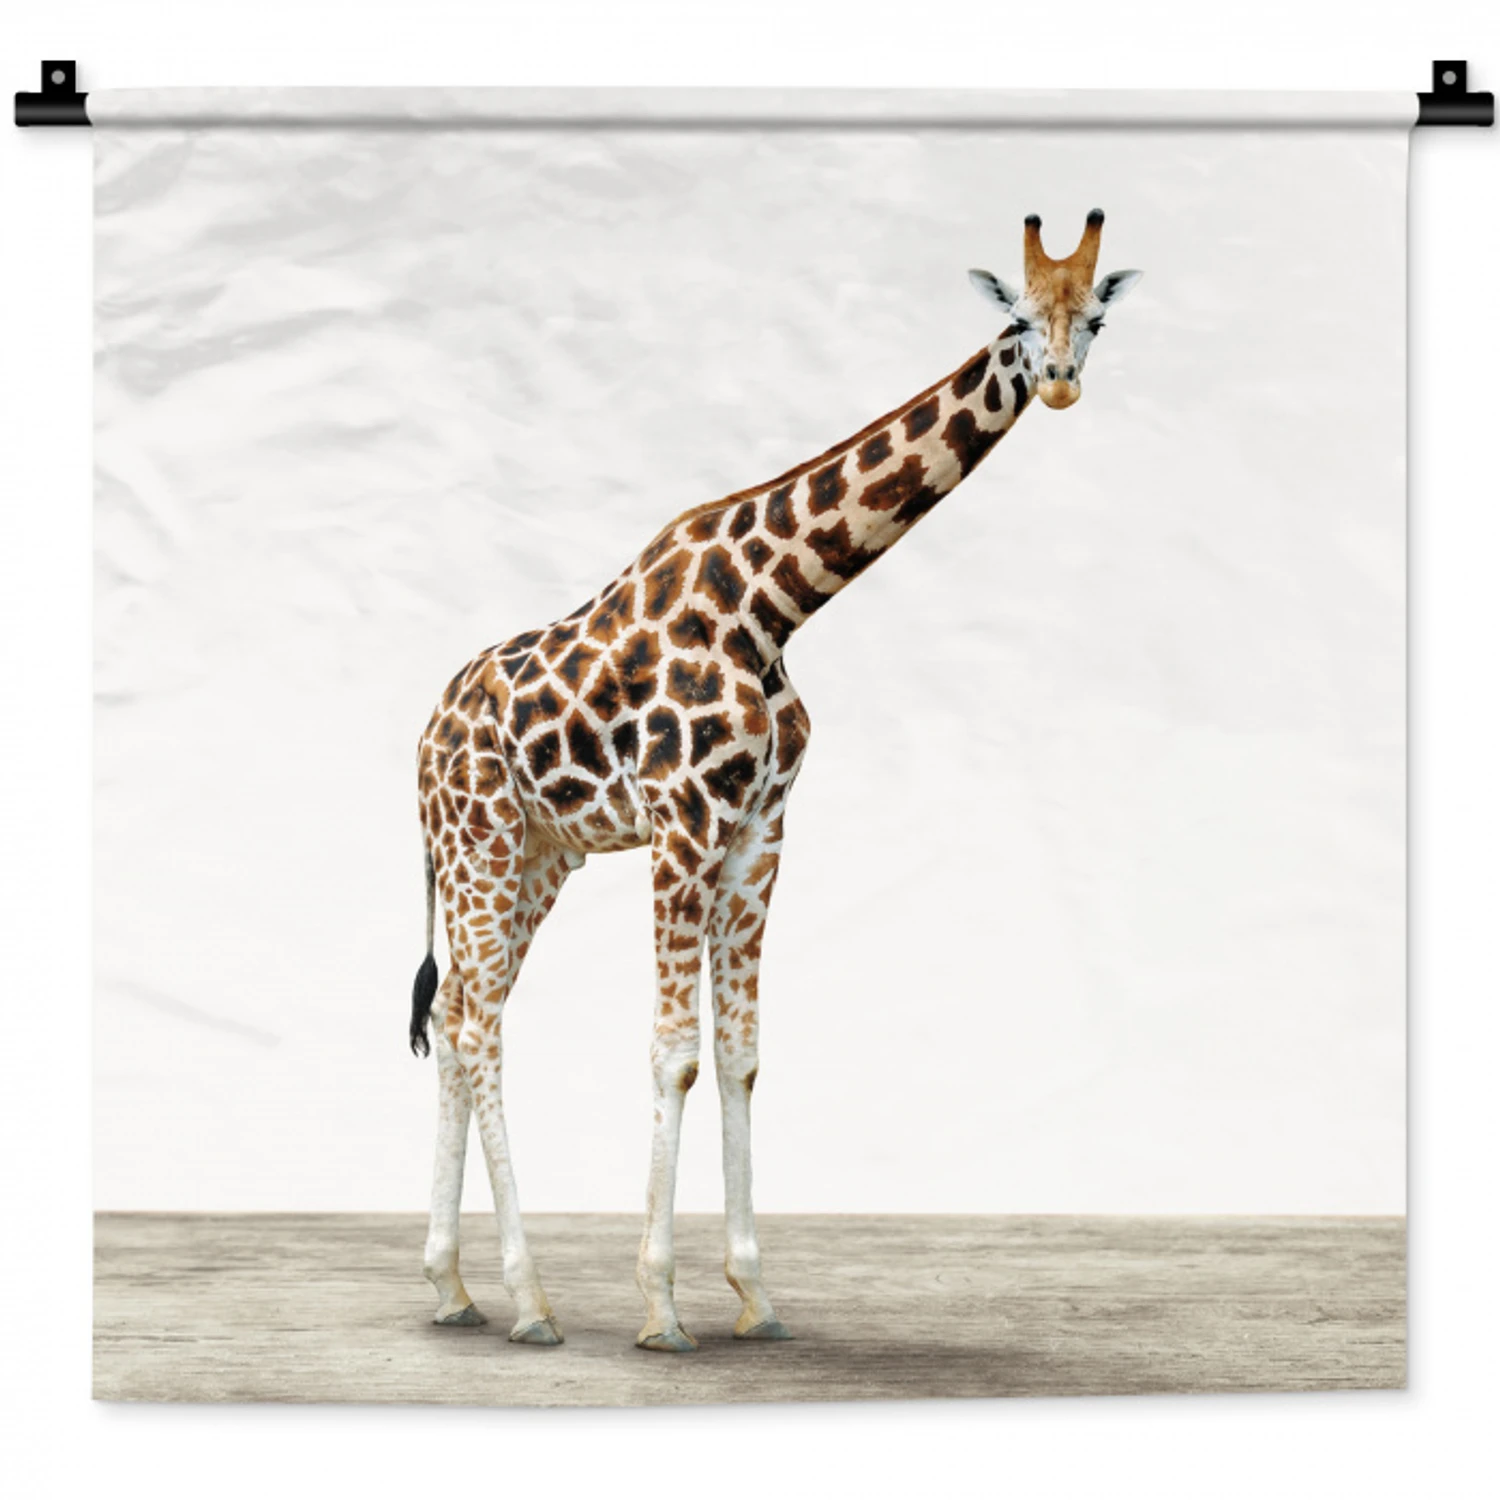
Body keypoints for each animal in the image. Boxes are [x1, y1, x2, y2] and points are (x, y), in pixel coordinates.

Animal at [410, 210, 1142, 1351]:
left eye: (1095, 318)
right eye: (1020, 317)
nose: (1061, 382)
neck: (771, 604)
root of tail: (422, 737)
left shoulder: (759, 832)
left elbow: (742, 1053)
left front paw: (755, 1295)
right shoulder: (683, 826)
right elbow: (674, 1052)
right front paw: (661, 1307)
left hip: (537, 856)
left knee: (453, 1018)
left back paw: (451, 1287)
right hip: (479, 843)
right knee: (480, 1024)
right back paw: (528, 1301)